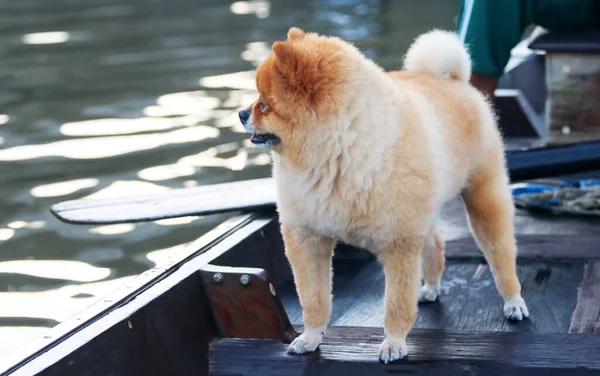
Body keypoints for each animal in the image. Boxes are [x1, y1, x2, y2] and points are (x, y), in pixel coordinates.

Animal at [237, 27, 528, 362]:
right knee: (436, 244)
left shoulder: (399, 244)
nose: (241, 112)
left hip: (483, 197)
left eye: (264, 104)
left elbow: (397, 303)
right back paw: (430, 287)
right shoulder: (307, 238)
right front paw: (310, 337)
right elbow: (314, 299)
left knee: (500, 254)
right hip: (426, 209)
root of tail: (451, 80)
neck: (334, 154)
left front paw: (394, 343)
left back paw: (514, 301)